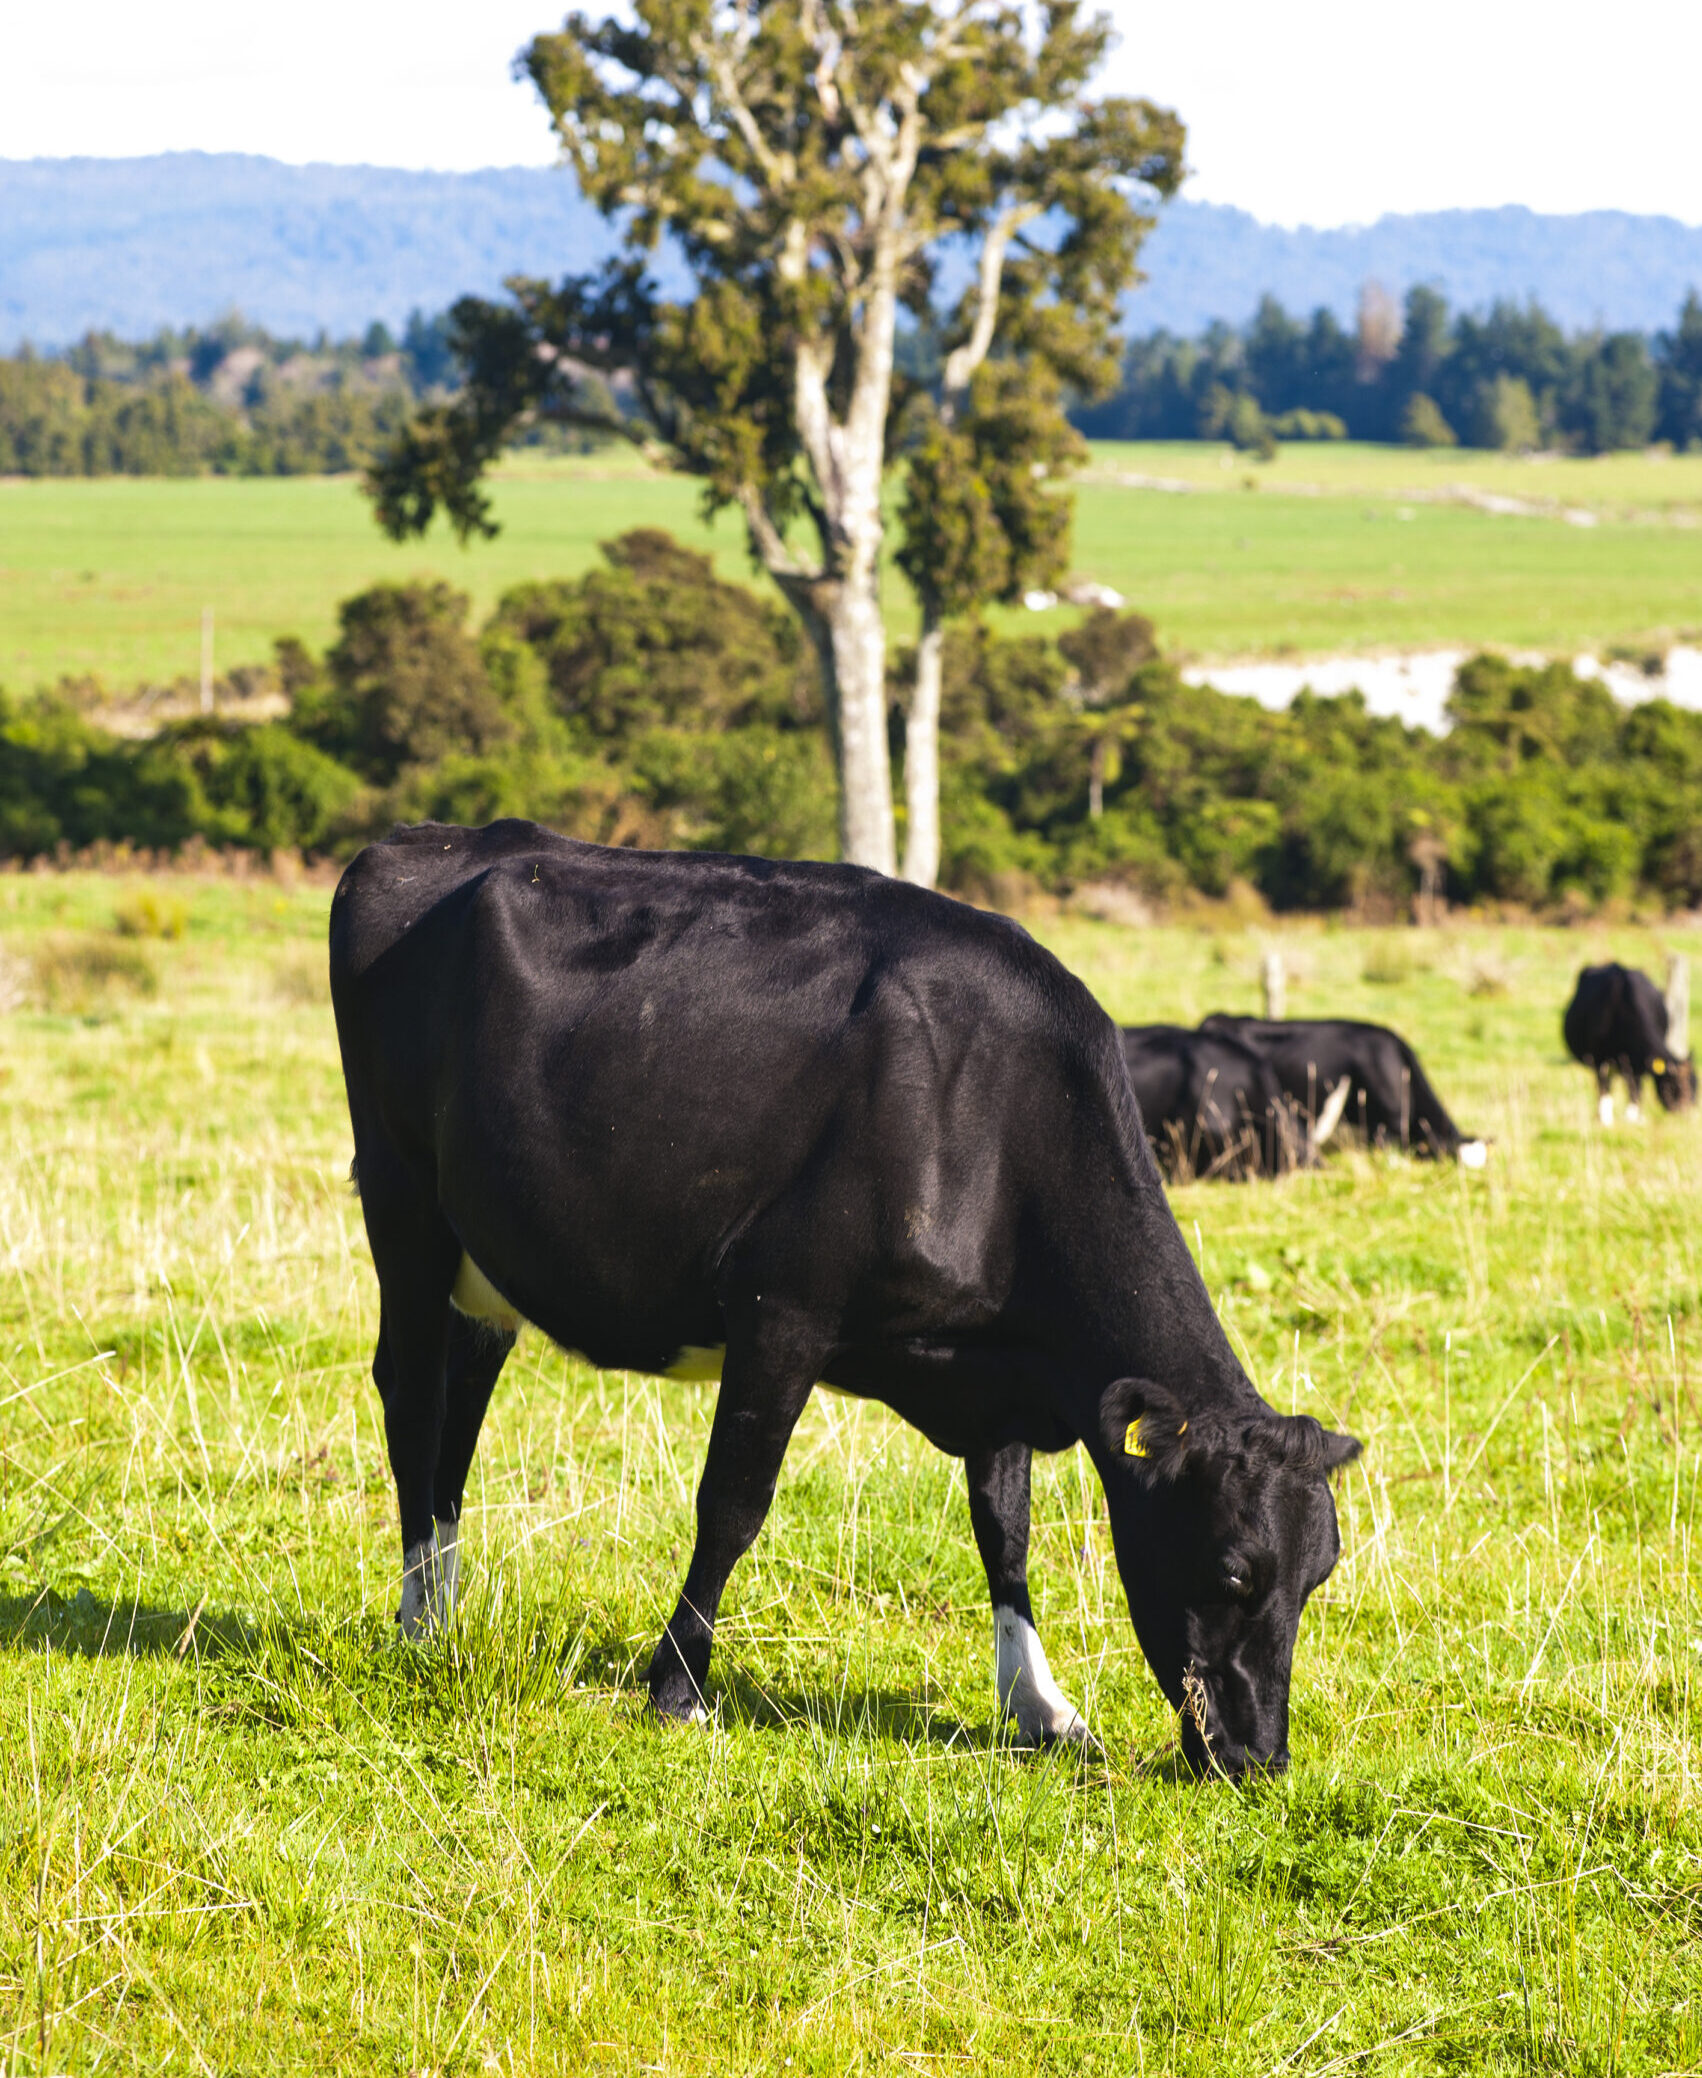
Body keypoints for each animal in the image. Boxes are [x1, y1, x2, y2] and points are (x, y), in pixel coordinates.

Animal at [1563, 963, 1695, 1125]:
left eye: (1696, 1088)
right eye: (1672, 1087)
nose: (1686, 1115)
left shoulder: (1638, 1063)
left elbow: (1635, 1089)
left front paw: (1633, 1118)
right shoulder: (1600, 1060)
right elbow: (1605, 1088)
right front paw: (1606, 1121)